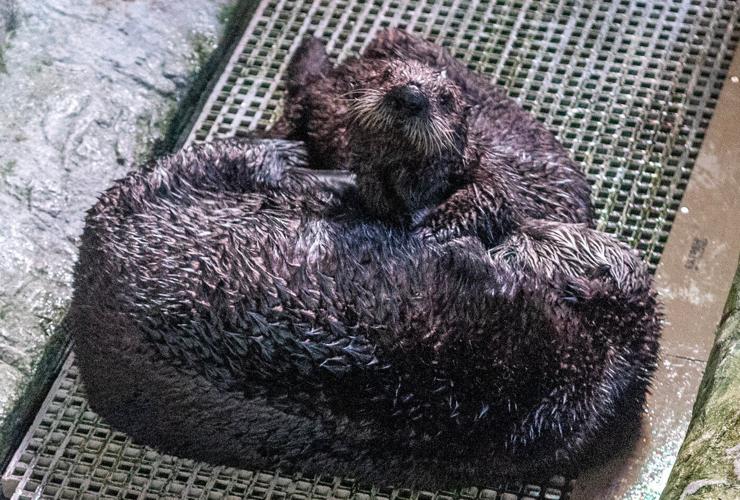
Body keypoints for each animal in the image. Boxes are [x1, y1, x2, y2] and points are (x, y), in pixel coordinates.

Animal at [269, 30, 593, 244]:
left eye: (446, 98)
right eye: (386, 76)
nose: (409, 95)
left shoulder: (494, 172)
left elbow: (492, 197)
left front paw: (430, 228)